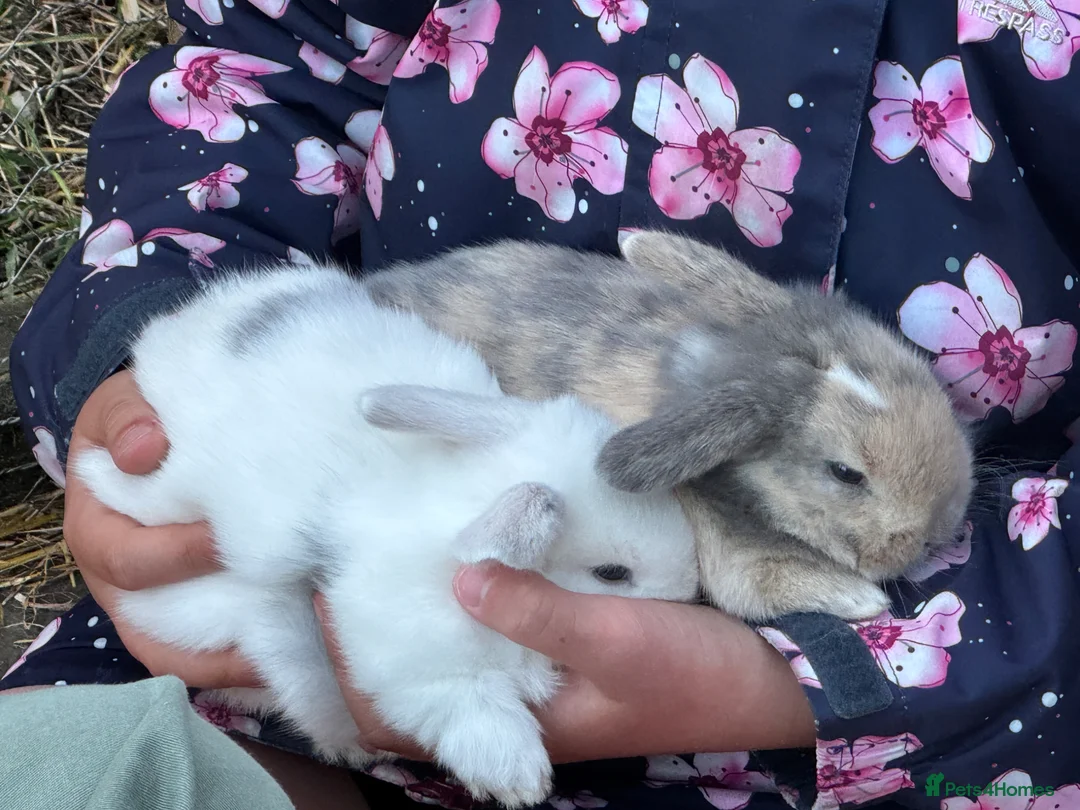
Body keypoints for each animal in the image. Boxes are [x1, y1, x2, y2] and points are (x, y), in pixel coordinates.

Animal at [70, 261, 700, 809]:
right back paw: (96, 470)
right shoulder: (410, 663)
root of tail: (177, 331)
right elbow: (469, 707)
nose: (692, 590)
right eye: (612, 573)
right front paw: (517, 779)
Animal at [362, 229, 977, 623]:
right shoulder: (731, 553)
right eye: (846, 473)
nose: (942, 527)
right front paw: (862, 600)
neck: (709, 369)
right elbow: (765, 581)